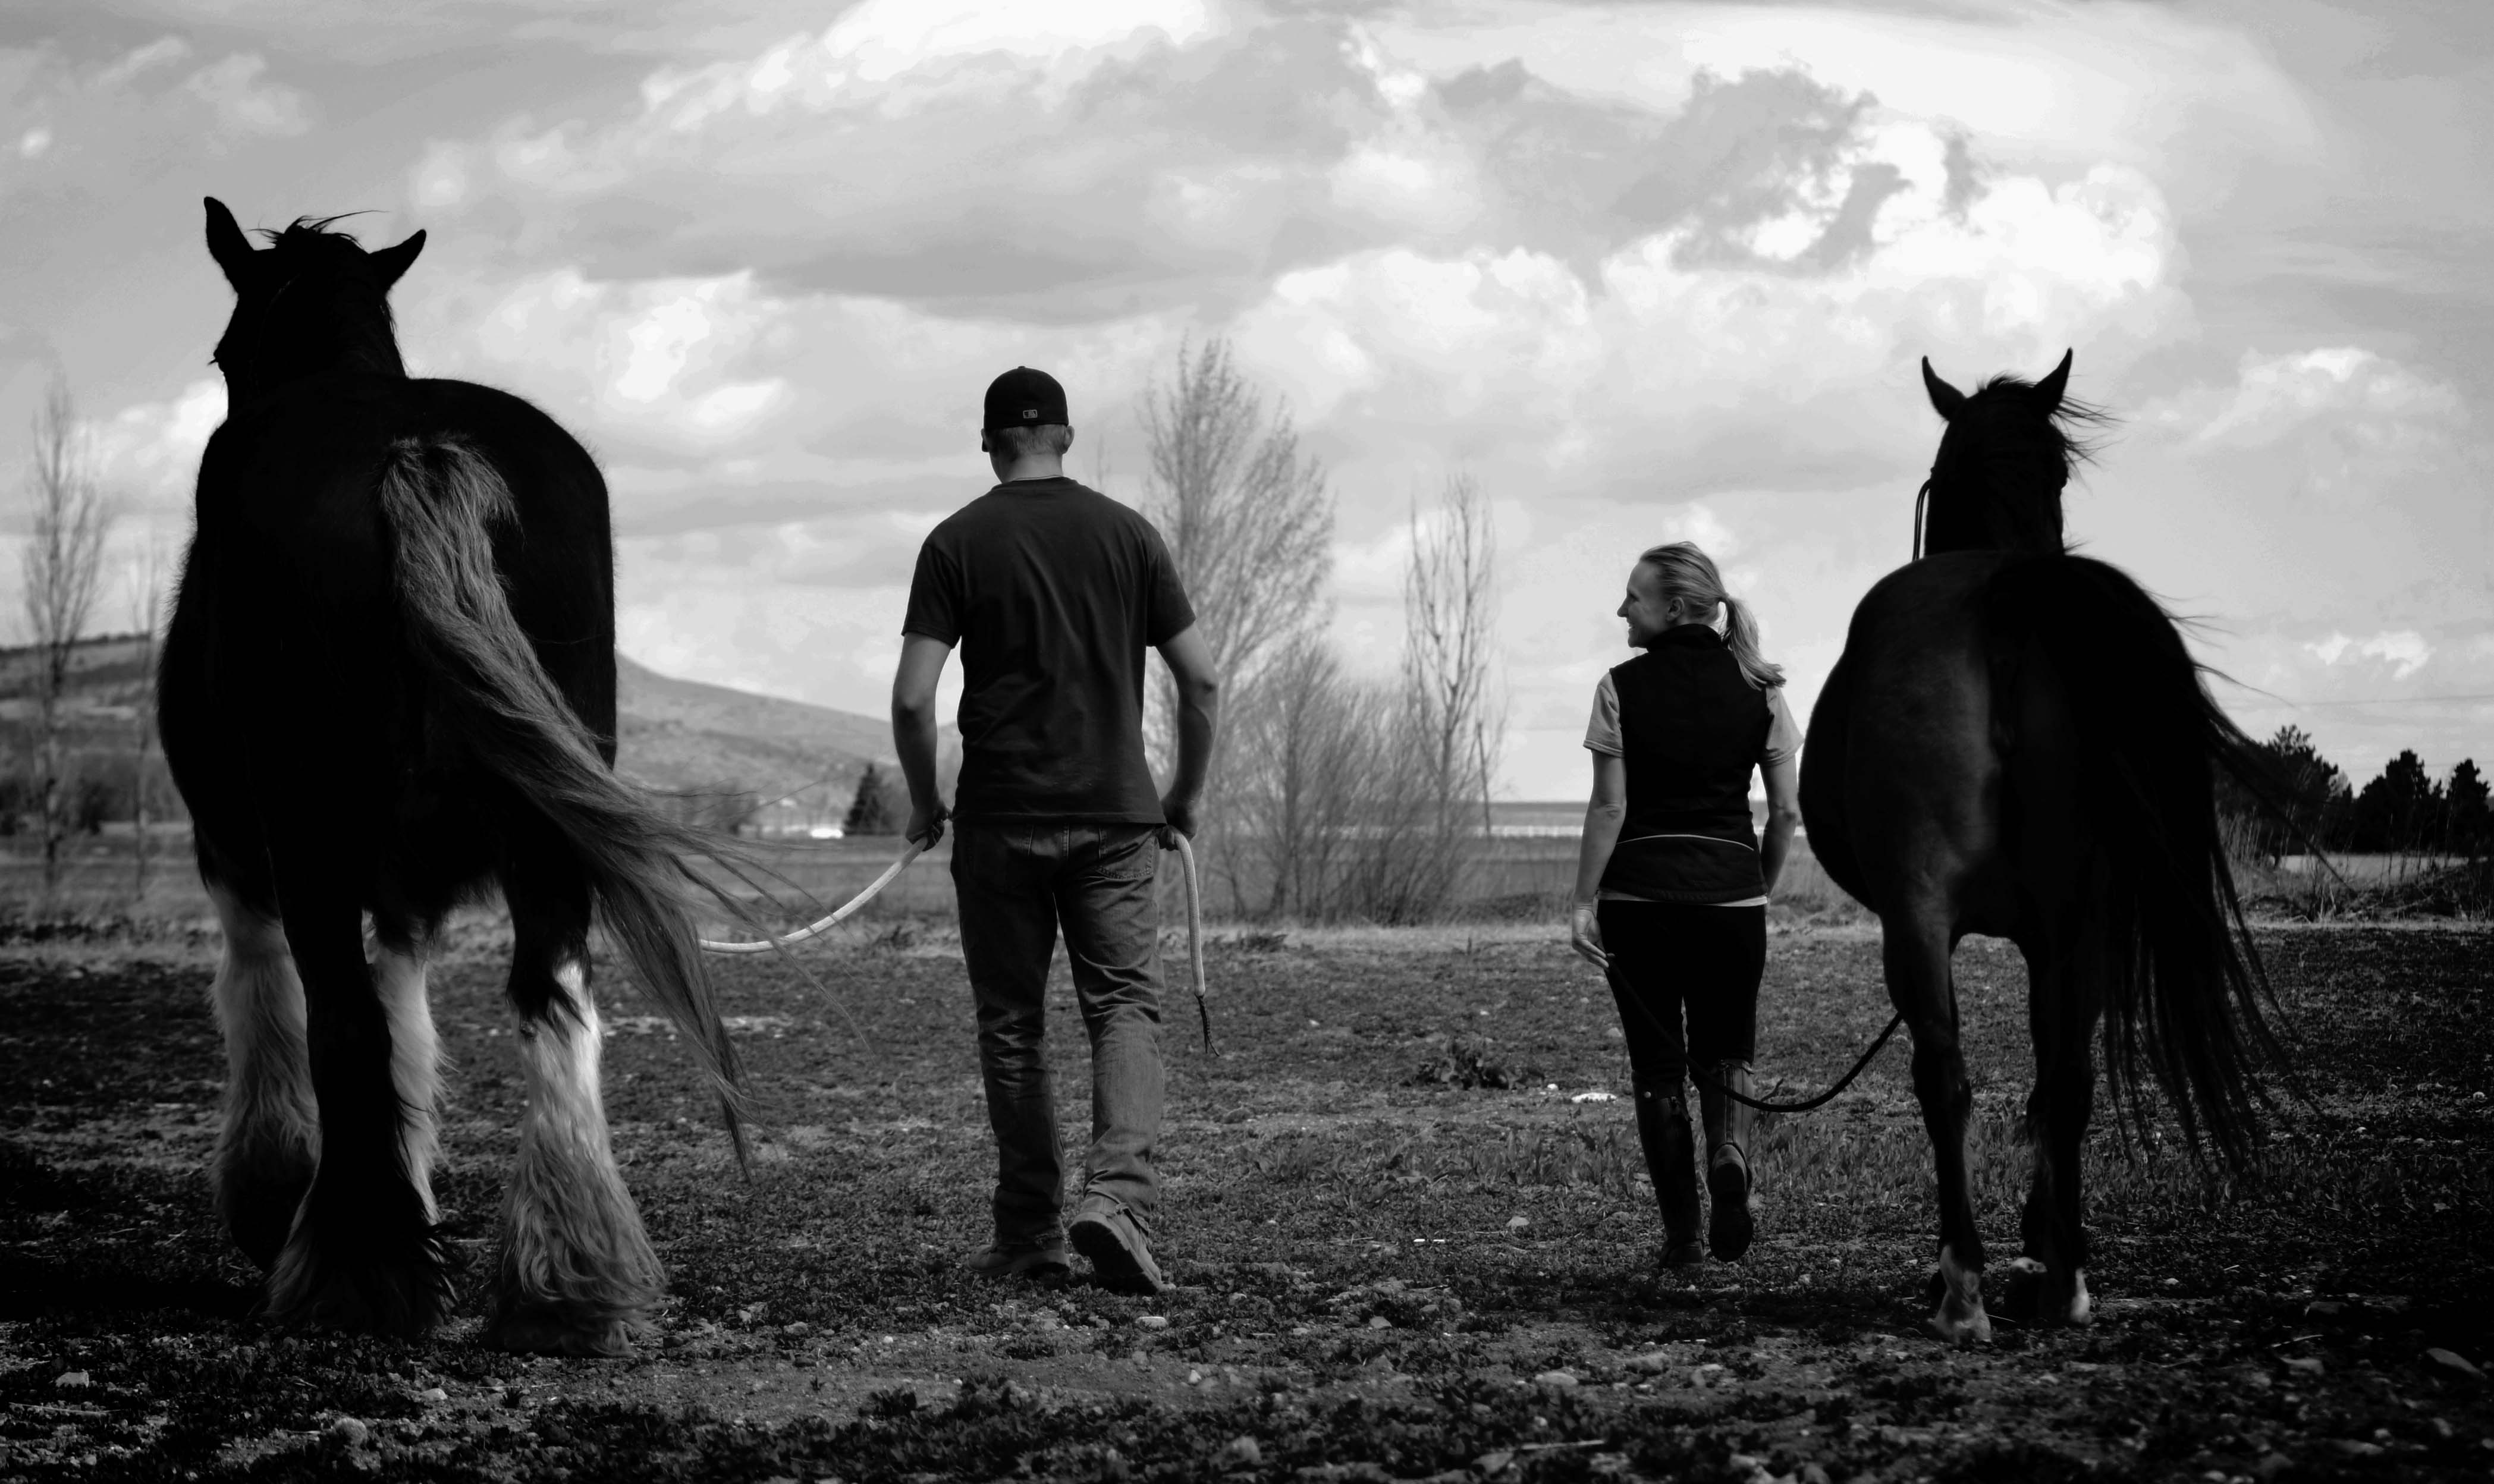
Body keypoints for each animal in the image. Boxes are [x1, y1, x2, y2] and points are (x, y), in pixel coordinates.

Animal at [159, 199, 754, 1355]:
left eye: (219, 353)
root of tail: (416, 450)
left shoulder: (236, 846)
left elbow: (273, 996)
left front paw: (275, 1193)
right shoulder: (400, 884)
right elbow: (409, 1021)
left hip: (305, 817)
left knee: (339, 1014)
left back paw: (355, 1276)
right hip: (547, 829)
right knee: (551, 994)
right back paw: (568, 1281)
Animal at [1798, 350, 2278, 1343]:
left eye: (2061, 473)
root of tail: (2007, 595)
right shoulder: (2051, 930)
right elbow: (2049, 1070)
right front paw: (2040, 1244)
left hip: (1922, 917)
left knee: (1943, 1078)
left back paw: (1961, 1286)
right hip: (2075, 916)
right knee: (2064, 1078)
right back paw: (2062, 1282)